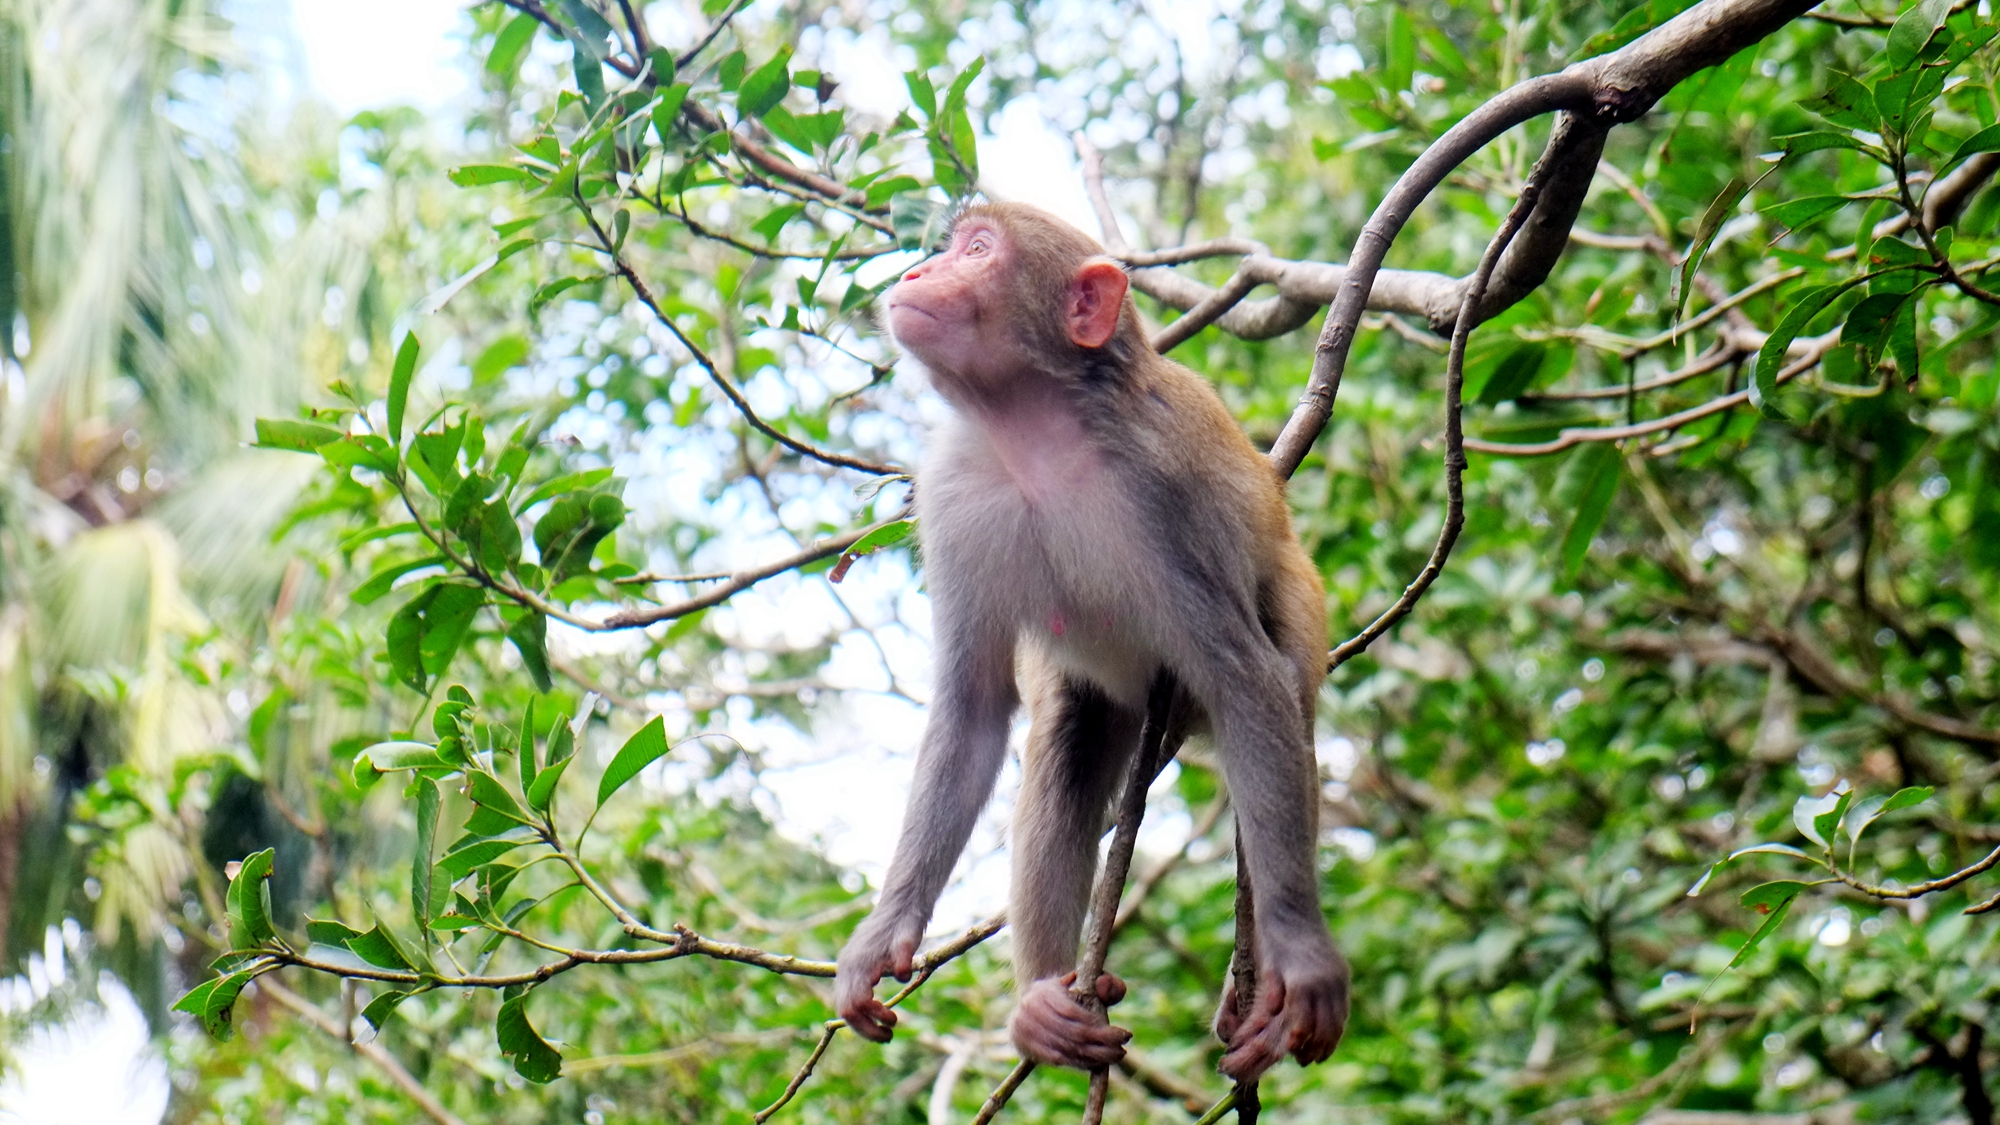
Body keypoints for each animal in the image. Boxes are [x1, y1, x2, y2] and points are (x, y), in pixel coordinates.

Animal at [828, 199, 1344, 1080]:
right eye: (952, 245)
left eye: (977, 249)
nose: (915, 272)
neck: (1038, 437)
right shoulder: (951, 493)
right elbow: (972, 710)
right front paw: (883, 930)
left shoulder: (1165, 492)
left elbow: (1247, 678)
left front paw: (1304, 961)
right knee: (1066, 742)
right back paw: (1045, 997)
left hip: (1302, 603)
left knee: (1281, 693)